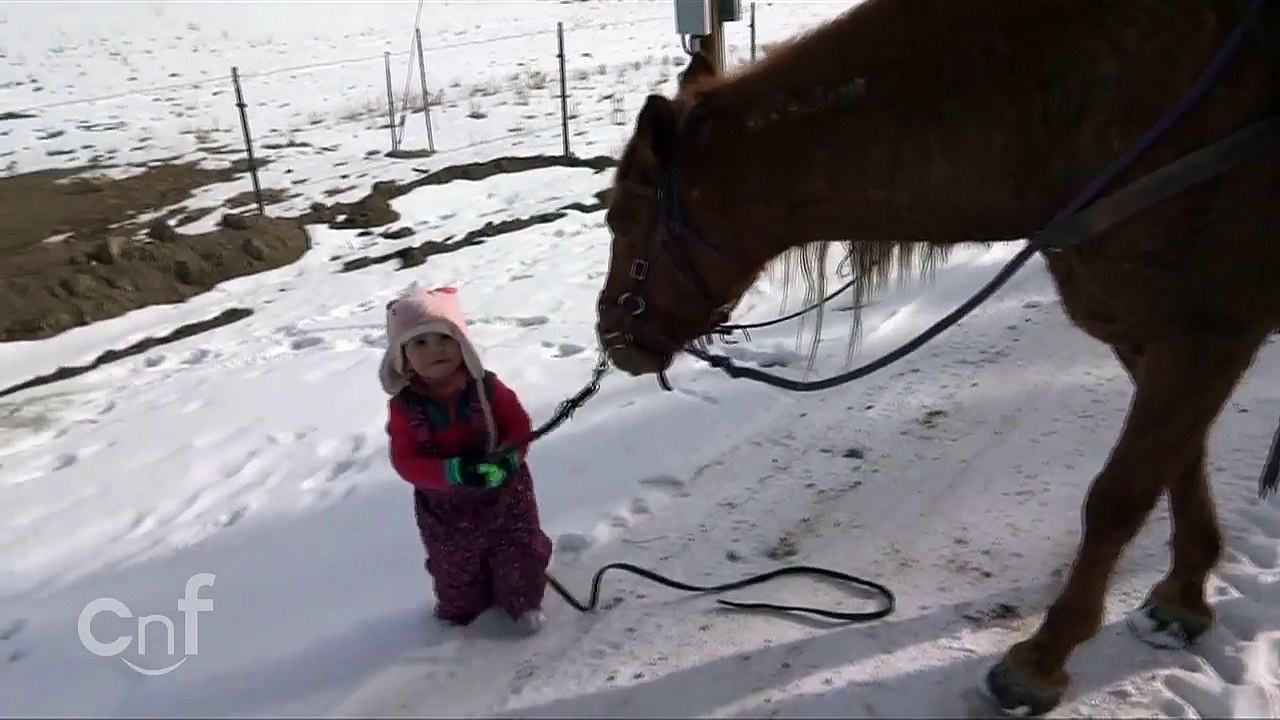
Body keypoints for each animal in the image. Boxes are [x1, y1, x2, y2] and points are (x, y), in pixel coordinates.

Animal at [593, 0, 1280, 715]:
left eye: (620, 219)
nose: (611, 334)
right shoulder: (1152, 335)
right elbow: (1179, 466)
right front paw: (1183, 598)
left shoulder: (1208, 335)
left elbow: (1120, 496)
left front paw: (1042, 659)